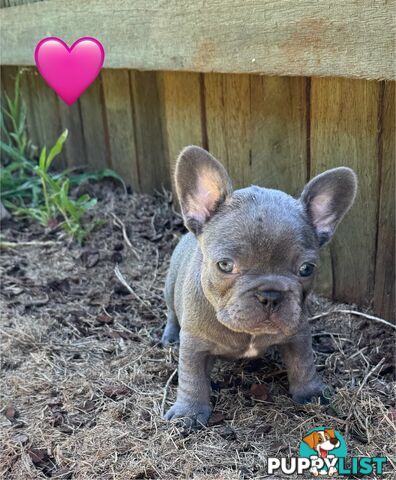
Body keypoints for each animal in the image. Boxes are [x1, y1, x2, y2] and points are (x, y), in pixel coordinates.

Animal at [162, 145, 358, 428]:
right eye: (225, 265)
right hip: (169, 289)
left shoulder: (298, 334)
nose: (270, 295)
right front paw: (189, 412)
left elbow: (304, 364)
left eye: (306, 269)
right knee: (171, 313)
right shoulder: (194, 344)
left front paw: (311, 392)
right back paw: (169, 336)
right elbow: (192, 377)